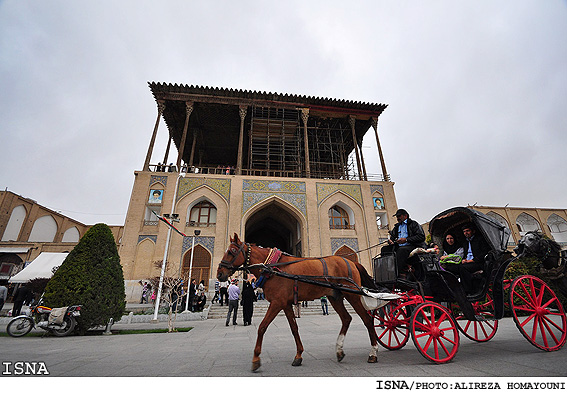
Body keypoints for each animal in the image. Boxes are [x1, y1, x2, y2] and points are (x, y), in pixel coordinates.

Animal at [217, 233, 390, 370]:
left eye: (231, 251)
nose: (219, 273)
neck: (272, 268)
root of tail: (352, 262)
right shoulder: (285, 302)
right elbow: (294, 328)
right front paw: (298, 356)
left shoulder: (277, 302)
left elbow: (262, 327)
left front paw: (255, 359)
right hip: (335, 295)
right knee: (347, 318)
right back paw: (339, 351)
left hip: (352, 293)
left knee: (366, 319)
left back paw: (373, 353)